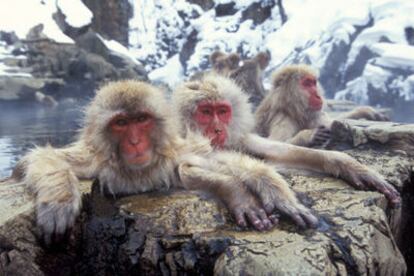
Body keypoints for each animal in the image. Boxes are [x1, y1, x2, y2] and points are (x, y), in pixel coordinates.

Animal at [171, 74, 402, 208]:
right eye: (206, 112)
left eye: (222, 111)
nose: (218, 129)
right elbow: (186, 168)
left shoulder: (240, 137)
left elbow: (277, 153)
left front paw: (346, 164)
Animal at [258, 64, 390, 148]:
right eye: (306, 84)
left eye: (313, 83)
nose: (317, 95)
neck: (293, 109)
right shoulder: (283, 118)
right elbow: (274, 144)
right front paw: (308, 136)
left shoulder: (314, 115)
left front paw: (365, 112)